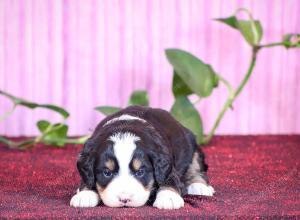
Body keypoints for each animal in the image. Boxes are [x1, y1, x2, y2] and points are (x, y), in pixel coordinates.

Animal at [70, 105, 214, 209]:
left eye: (140, 172)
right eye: (107, 173)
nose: (125, 199)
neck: (125, 127)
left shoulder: (168, 165)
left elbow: (170, 179)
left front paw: (168, 197)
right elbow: (87, 180)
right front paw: (84, 194)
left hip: (192, 146)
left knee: (196, 167)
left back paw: (200, 186)